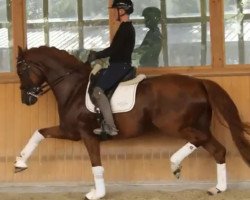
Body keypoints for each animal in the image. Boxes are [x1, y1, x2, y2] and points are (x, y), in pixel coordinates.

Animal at [14, 46, 249, 199]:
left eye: (22, 70)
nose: (26, 99)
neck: (74, 88)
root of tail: (199, 82)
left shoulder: (85, 134)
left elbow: (96, 165)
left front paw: (97, 194)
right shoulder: (69, 131)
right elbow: (39, 133)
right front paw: (19, 164)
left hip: (175, 125)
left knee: (201, 141)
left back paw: (175, 165)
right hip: (197, 124)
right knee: (218, 149)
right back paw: (217, 188)